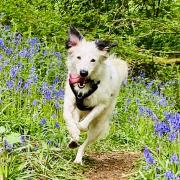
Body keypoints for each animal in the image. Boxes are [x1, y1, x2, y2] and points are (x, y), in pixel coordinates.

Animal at [63, 27, 128, 165]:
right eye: (78, 57)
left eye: (93, 60)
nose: (83, 72)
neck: (86, 86)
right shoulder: (70, 101)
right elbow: (68, 117)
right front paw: (74, 132)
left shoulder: (101, 104)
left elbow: (84, 124)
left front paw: (79, 128)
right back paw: (73, 140)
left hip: (98, 126)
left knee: (85, 143)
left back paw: (78, 158)